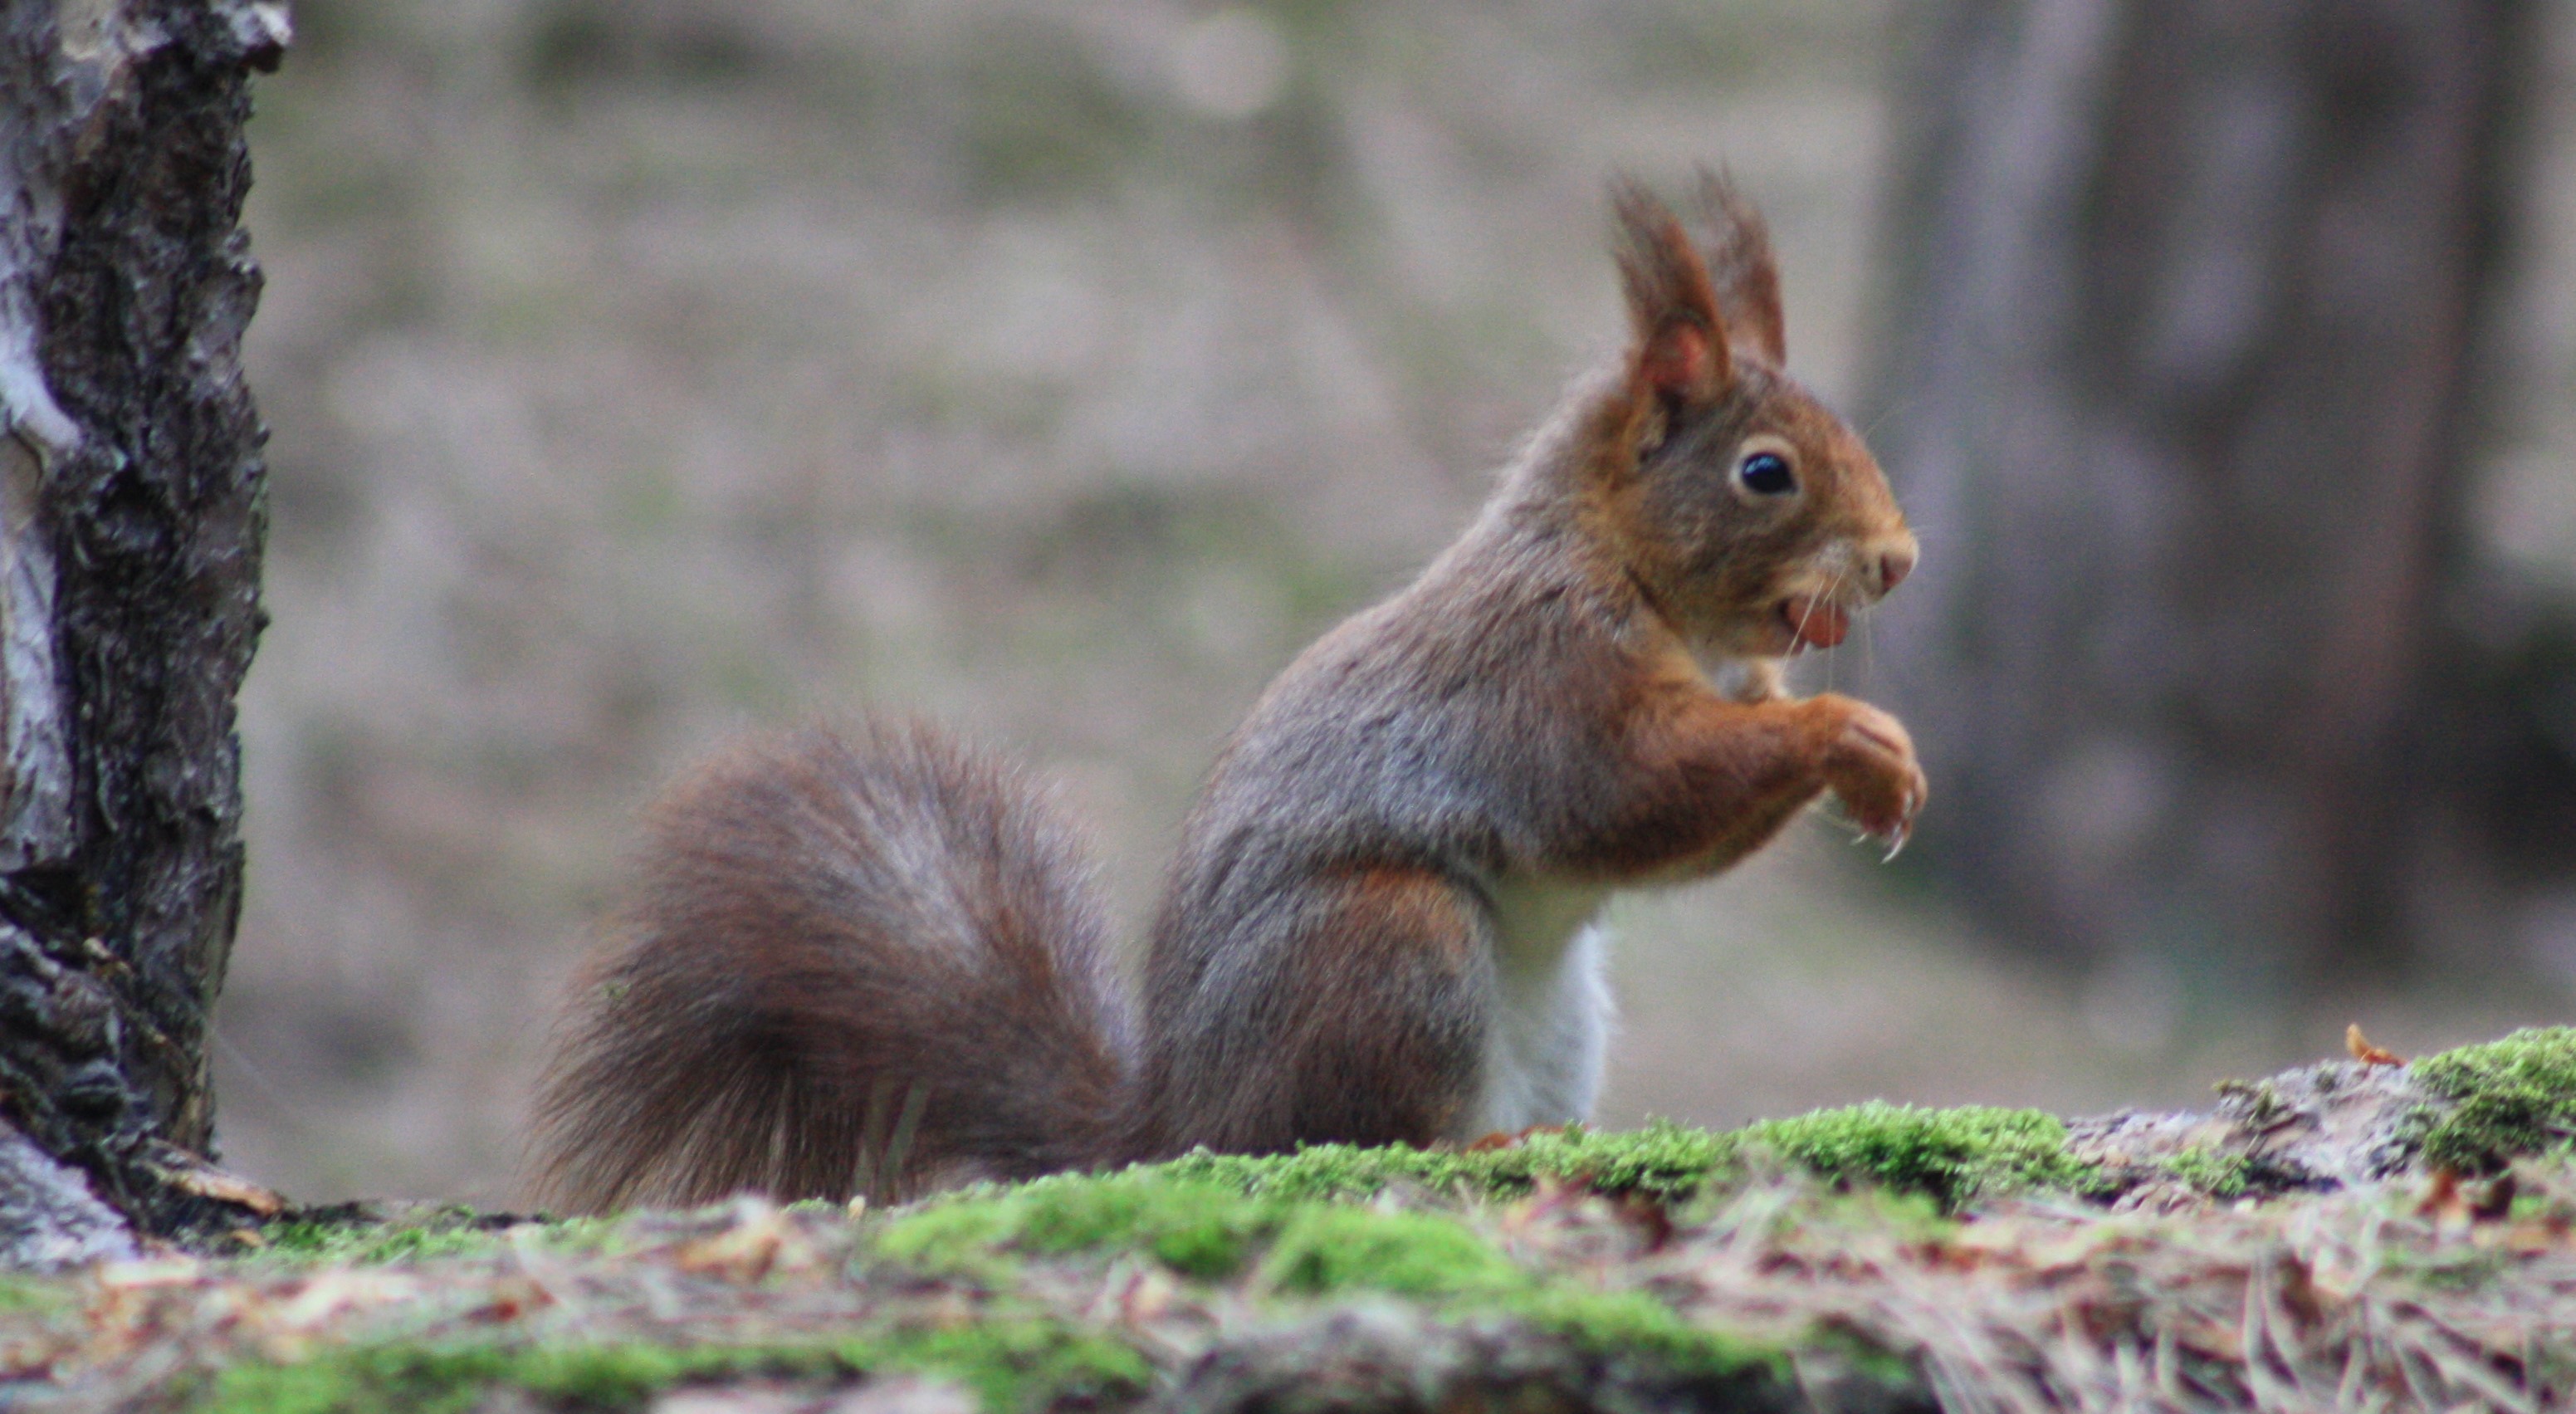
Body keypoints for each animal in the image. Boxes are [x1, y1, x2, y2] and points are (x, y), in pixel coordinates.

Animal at [533, 174, 1927, 1210]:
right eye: (1763, 472)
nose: (1898, 560)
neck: (1640, 584)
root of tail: (1172, 1124)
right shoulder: (1539, 682)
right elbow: (1631, 791)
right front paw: (1841, 733)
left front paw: (1887, 765)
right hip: (1389, 944)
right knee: (1349, 1135)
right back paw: (1473, 1145)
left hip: (1562, 1014)